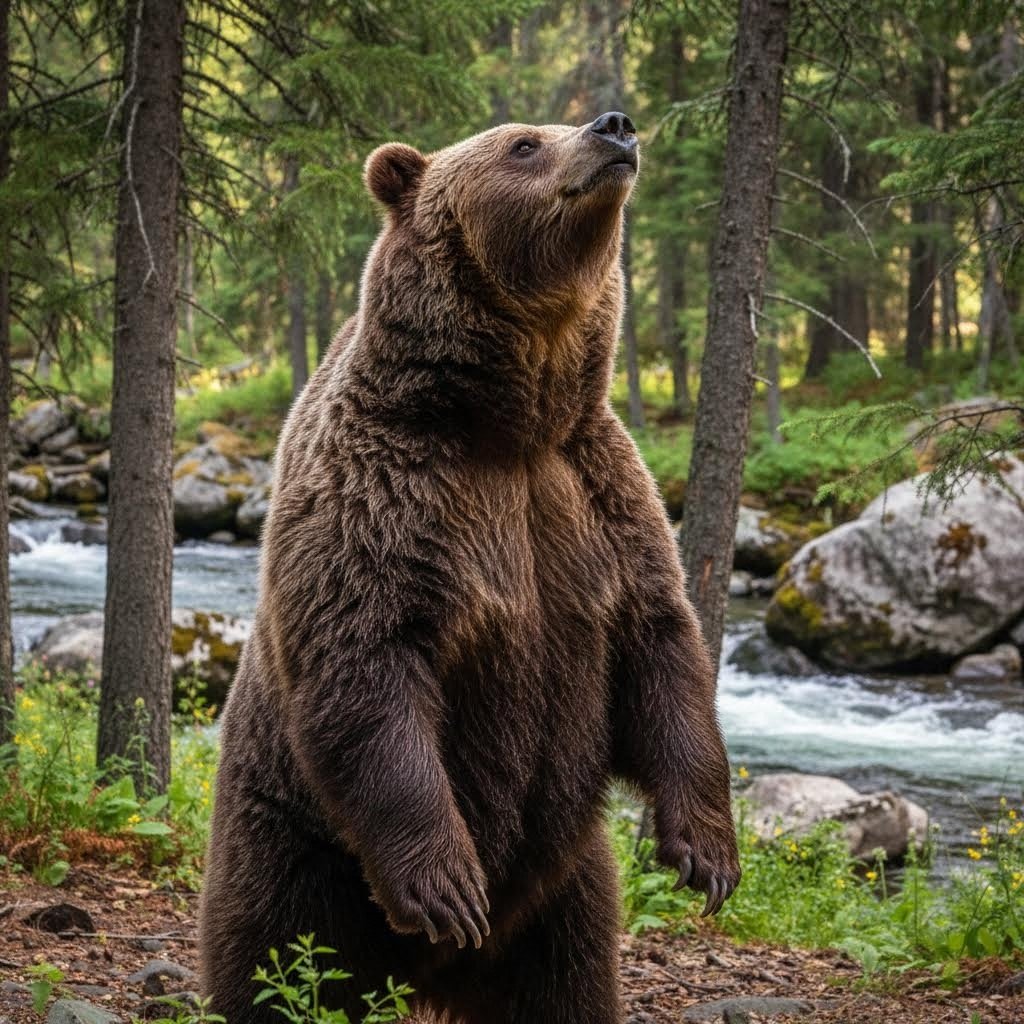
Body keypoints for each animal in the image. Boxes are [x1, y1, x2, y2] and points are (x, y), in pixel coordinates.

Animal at [199, 111, 740, 1024]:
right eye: (523, 143)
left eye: (559, 125)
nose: (616, 126)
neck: (508, 425)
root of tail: (432, 979)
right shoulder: (388, 494)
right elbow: (367, 661)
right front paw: (446, 884)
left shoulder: (596, 493)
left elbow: (662, 646)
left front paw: (707, 853)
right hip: (293, 838)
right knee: (281, 958)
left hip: (566, 884)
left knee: (570, 982)